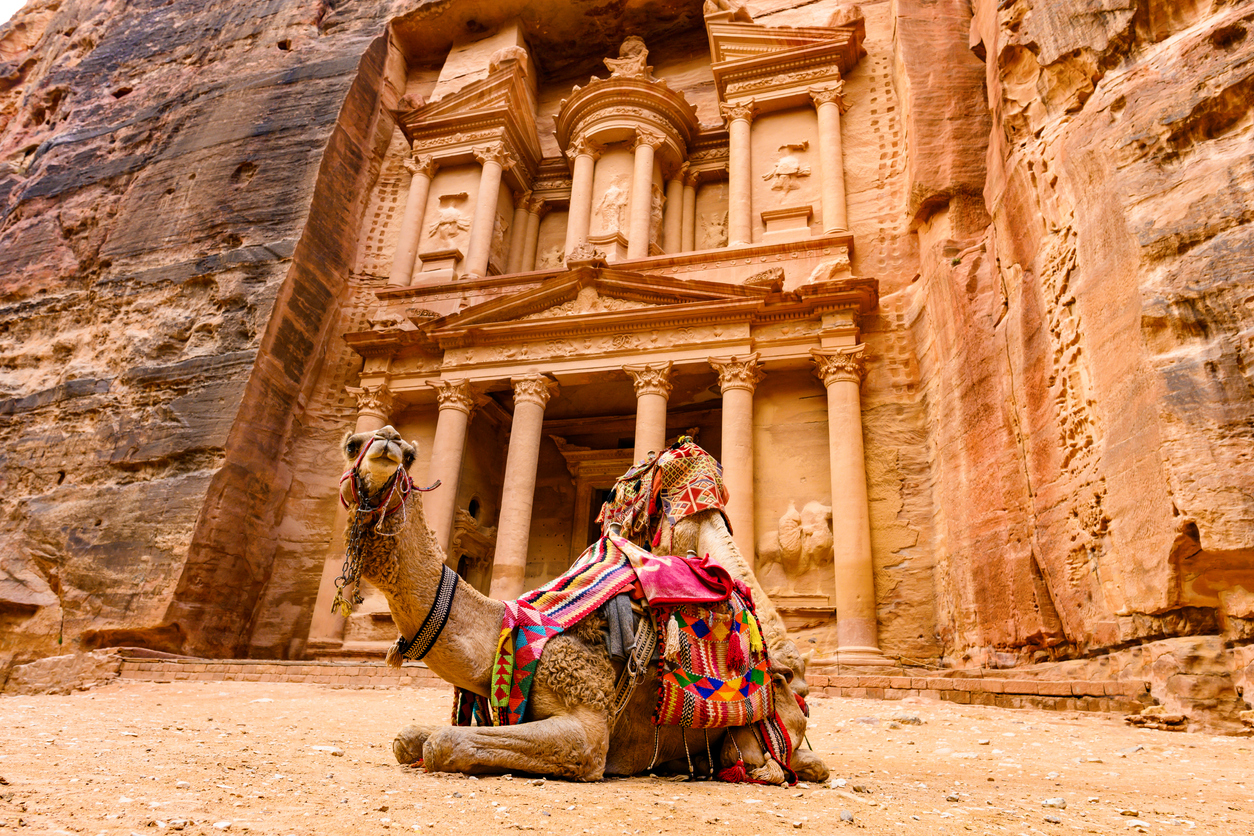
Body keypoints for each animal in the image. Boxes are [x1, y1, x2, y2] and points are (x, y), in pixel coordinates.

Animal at [341, 426, 832, 787]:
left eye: (409, 456)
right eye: (350, 445)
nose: (386, 441)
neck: (507, 628)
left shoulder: (587, 728)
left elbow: (441, 743)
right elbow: (409, 738)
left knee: (774, 762)